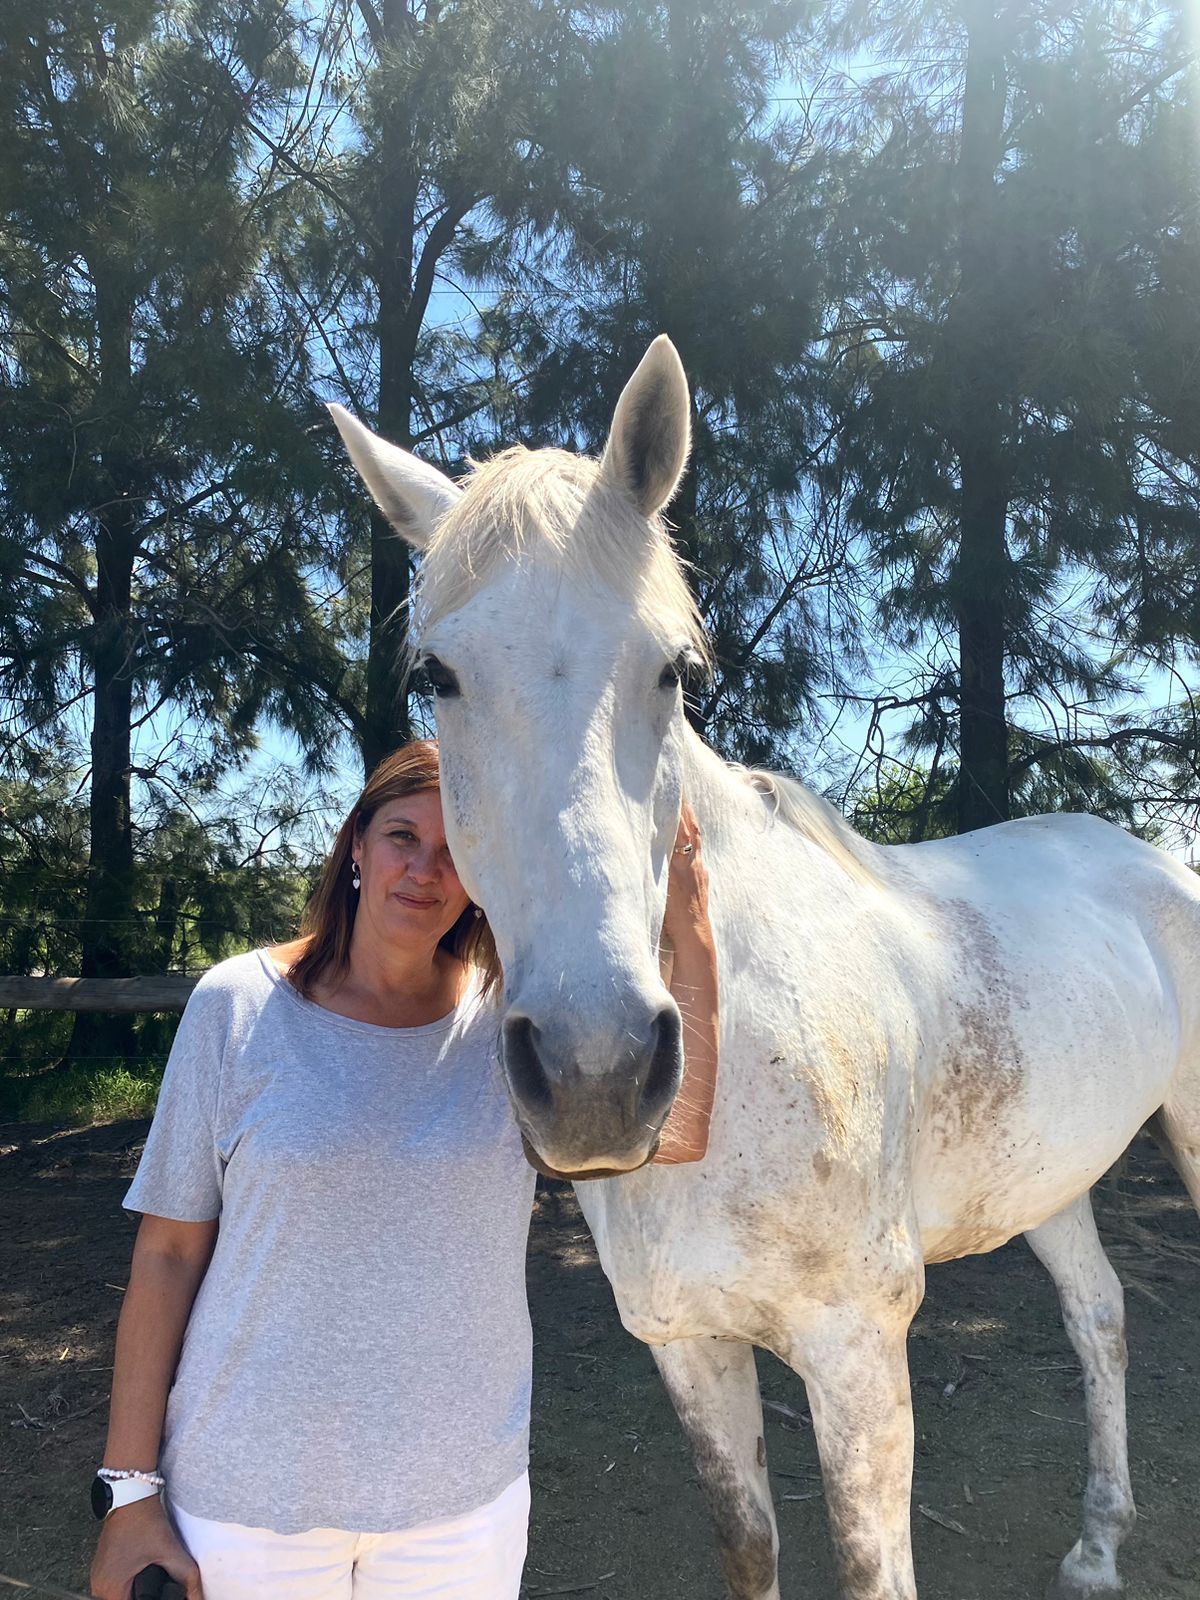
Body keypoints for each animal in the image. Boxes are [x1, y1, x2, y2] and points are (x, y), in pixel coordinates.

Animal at [329, 337, 1200, 1600]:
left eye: (674, 669)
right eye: (437, 674)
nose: (597, 1070)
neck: (747, 1066)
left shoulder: (858, 1351)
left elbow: (871, 1568)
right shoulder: (690, 1345)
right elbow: (749, 1546)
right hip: (1050, 1174)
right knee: (1099, 1314)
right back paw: (1094, 1546)